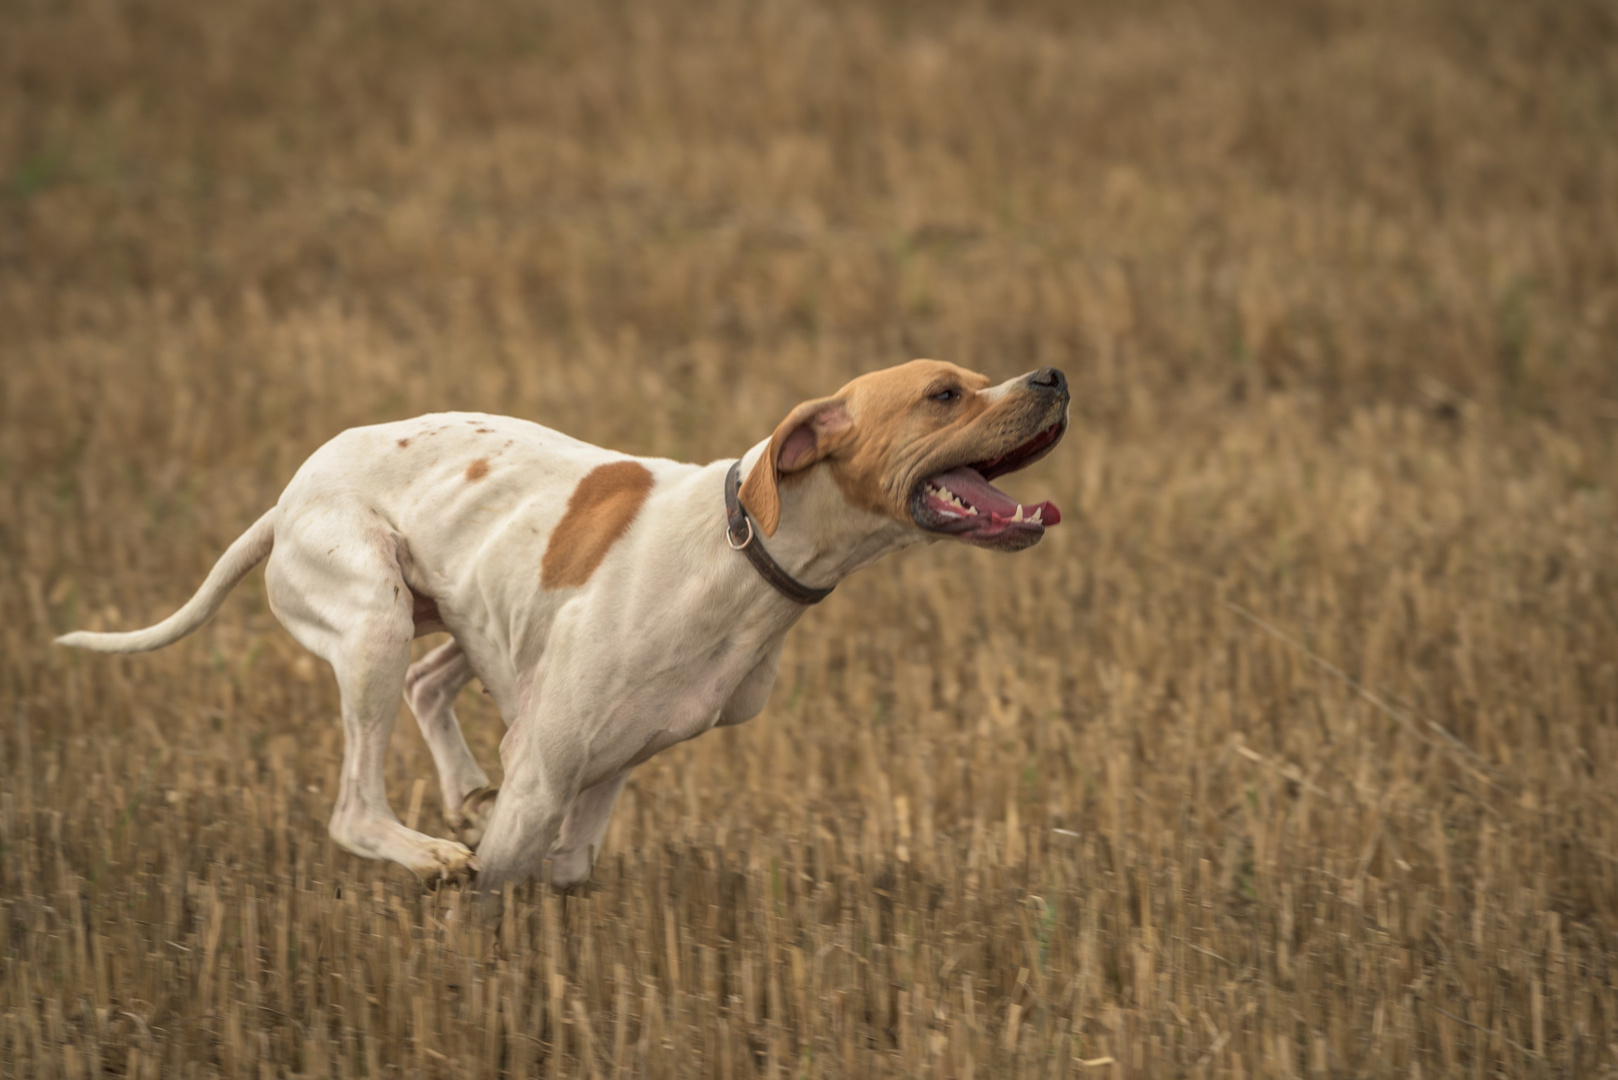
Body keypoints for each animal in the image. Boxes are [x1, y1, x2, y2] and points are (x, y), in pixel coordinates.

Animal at [57, 359, 1067, 893]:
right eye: (945, 394)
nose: (1052, 374)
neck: (745, 545)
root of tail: (287, 498)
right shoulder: (546, 764)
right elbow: (497, 883)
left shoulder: (604, 765)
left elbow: (569, 871)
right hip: (376, 617)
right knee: (355, 803)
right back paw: (428, 849)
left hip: (458, 614)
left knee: (430, 683)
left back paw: (462, 789)